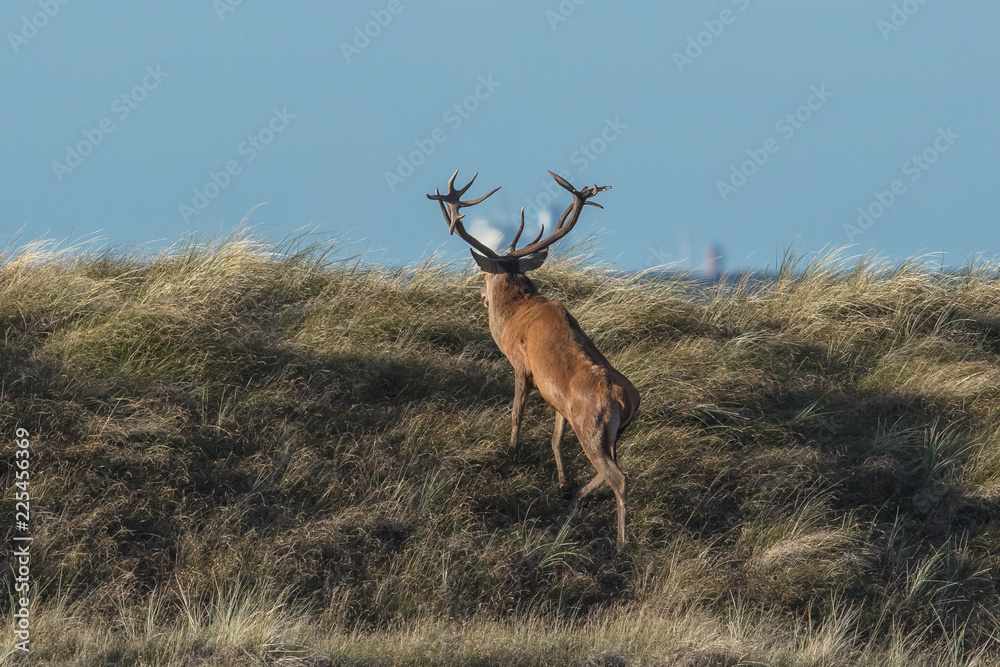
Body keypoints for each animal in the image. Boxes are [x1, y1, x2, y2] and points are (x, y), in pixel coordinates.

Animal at [427, 170, 640, 548]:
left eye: (485, 274)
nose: (480, 295)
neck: (515, 316)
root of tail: (625, 399)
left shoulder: (521, 364)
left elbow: (516, 412)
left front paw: (510, 452)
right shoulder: (556, 397)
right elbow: (555, 438)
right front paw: (562, 481)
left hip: (591, 425)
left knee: (620, 477)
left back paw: (620, 542)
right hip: (614, 432)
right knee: (611, 470)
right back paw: (576, 494)